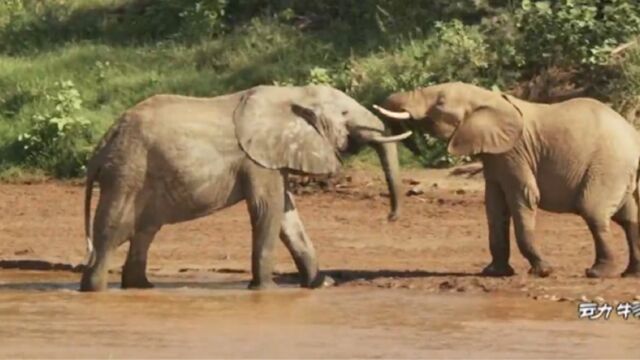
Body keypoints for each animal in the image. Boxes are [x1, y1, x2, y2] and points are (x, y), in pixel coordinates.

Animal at [81, 85, 410, 292]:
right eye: (344, 115)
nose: (391, 217)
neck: (293, 93)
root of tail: (102, 144)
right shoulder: (256, 160)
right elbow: (268, 211)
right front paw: (266, 290)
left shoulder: (271, 158)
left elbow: (288, 217)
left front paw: (321, 285)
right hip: (128, 173)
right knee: (113, 232)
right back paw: (95, 290)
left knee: (144, 231)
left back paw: (141, 287)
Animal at [372, 81, 640, 278]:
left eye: (439, 103)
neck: (487, 98)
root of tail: (632, 133)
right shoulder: (495, 157)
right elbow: (494, 205)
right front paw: (494, 272)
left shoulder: (515, 152)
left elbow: (524, 197)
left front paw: (543, 271)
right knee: (629, 218)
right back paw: (631, 274)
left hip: (609, 164)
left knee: (593, 211)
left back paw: (597, 273)